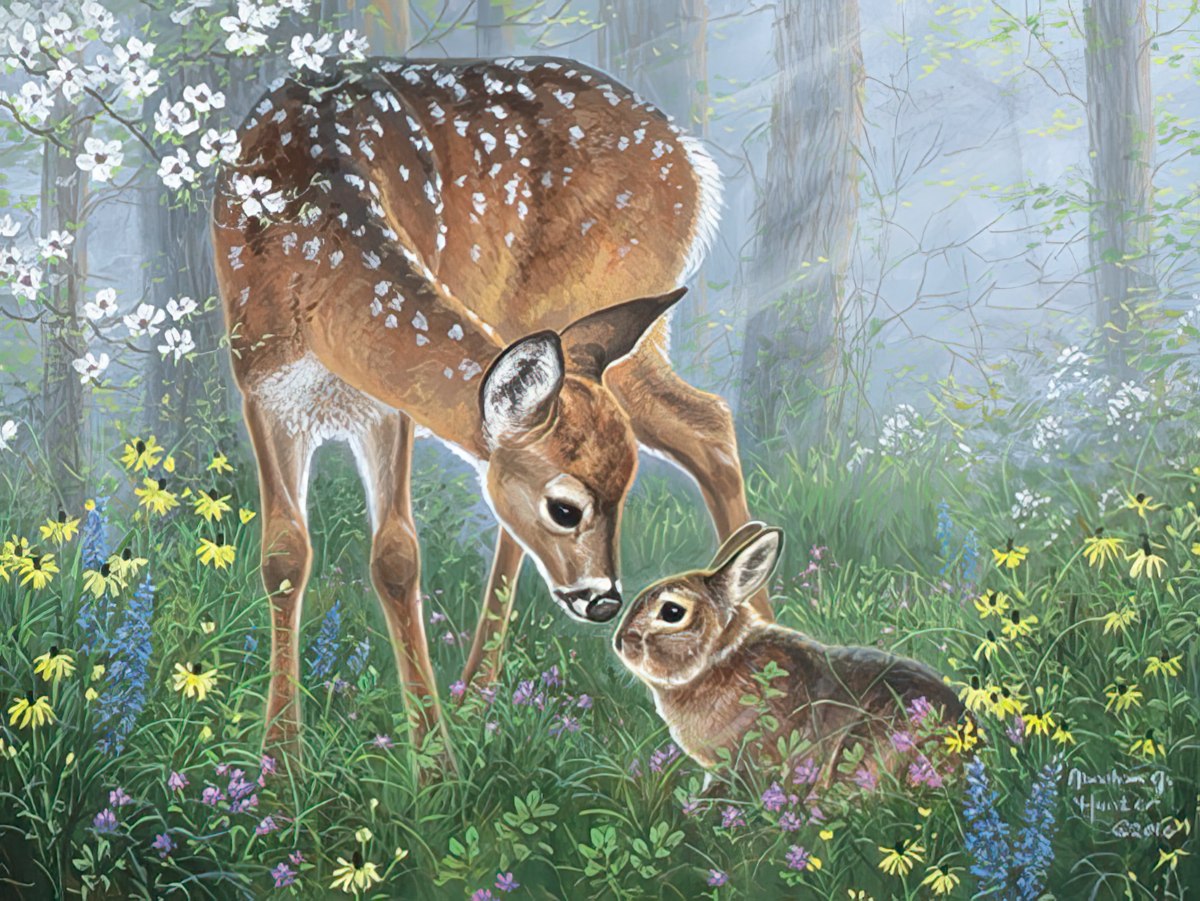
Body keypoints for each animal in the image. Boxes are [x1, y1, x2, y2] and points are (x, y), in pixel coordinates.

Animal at [211, 55, 771, 767]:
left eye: (627, 494)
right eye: (566, 509)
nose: (604, 601)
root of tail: (689, 160)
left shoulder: (390, 408)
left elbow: (396, 557)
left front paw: (433, 765)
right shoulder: (261, 389)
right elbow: (284, 556)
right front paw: (278, 763)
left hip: (589, 299)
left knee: (709, 421)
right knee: (707, 424)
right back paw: (478, 694)